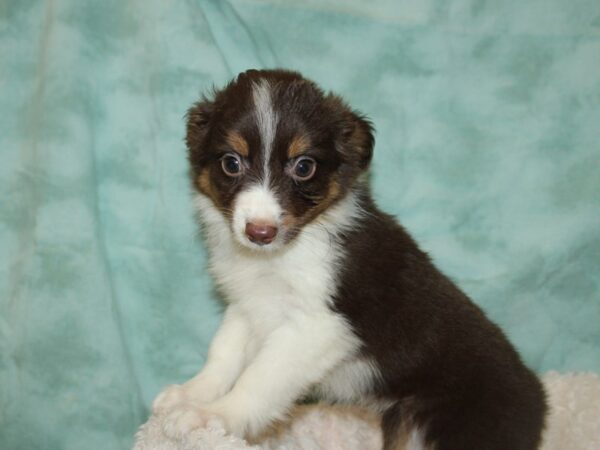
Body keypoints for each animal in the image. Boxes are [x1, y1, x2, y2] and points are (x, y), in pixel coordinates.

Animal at [152, 68, 548, 448]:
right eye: (231, 163)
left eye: (304, 167)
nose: (260, 232)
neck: (284, 253)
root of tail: (539, 401)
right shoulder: (247, 304)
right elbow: (223, 353)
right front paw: (189, 396)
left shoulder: (319, 325)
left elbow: (261, 377)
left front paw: (213, 417)